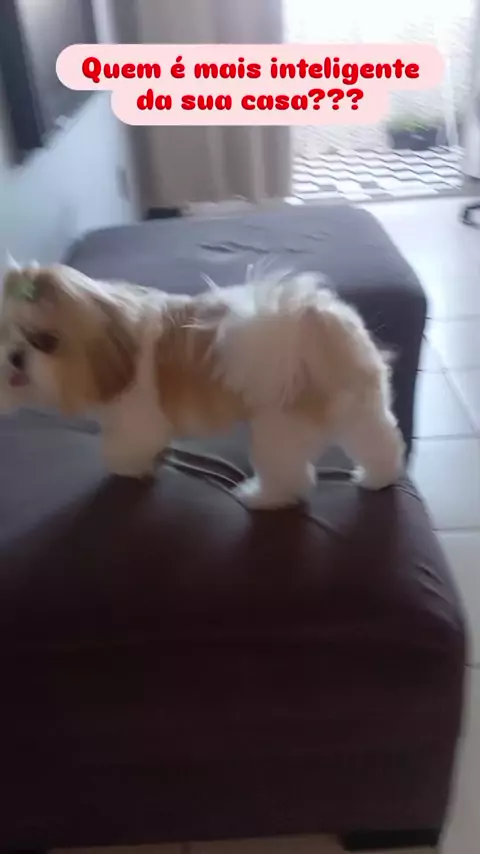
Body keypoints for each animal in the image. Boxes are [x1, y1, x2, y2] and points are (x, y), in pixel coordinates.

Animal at [0, 258, 405, 509]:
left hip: (279, 426)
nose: (15, 357)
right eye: (4, 334)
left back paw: (262, 497)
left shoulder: (135, 418)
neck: (115, 341)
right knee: (379, 441)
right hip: (361, 407)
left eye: (45, 340)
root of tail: (312, 326)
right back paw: (377, 477)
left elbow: (124, 446)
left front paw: (126, 468)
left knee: (287, 475)